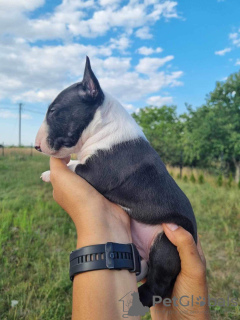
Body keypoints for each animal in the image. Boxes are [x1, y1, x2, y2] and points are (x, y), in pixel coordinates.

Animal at [35, 57, 197, 308]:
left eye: (53, 111)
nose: (36, 146)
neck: (103, 125)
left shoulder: (98, 171)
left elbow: (73, 167)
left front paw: (47, 173)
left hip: (167, 243)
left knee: (158, 285)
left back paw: (139, 298)